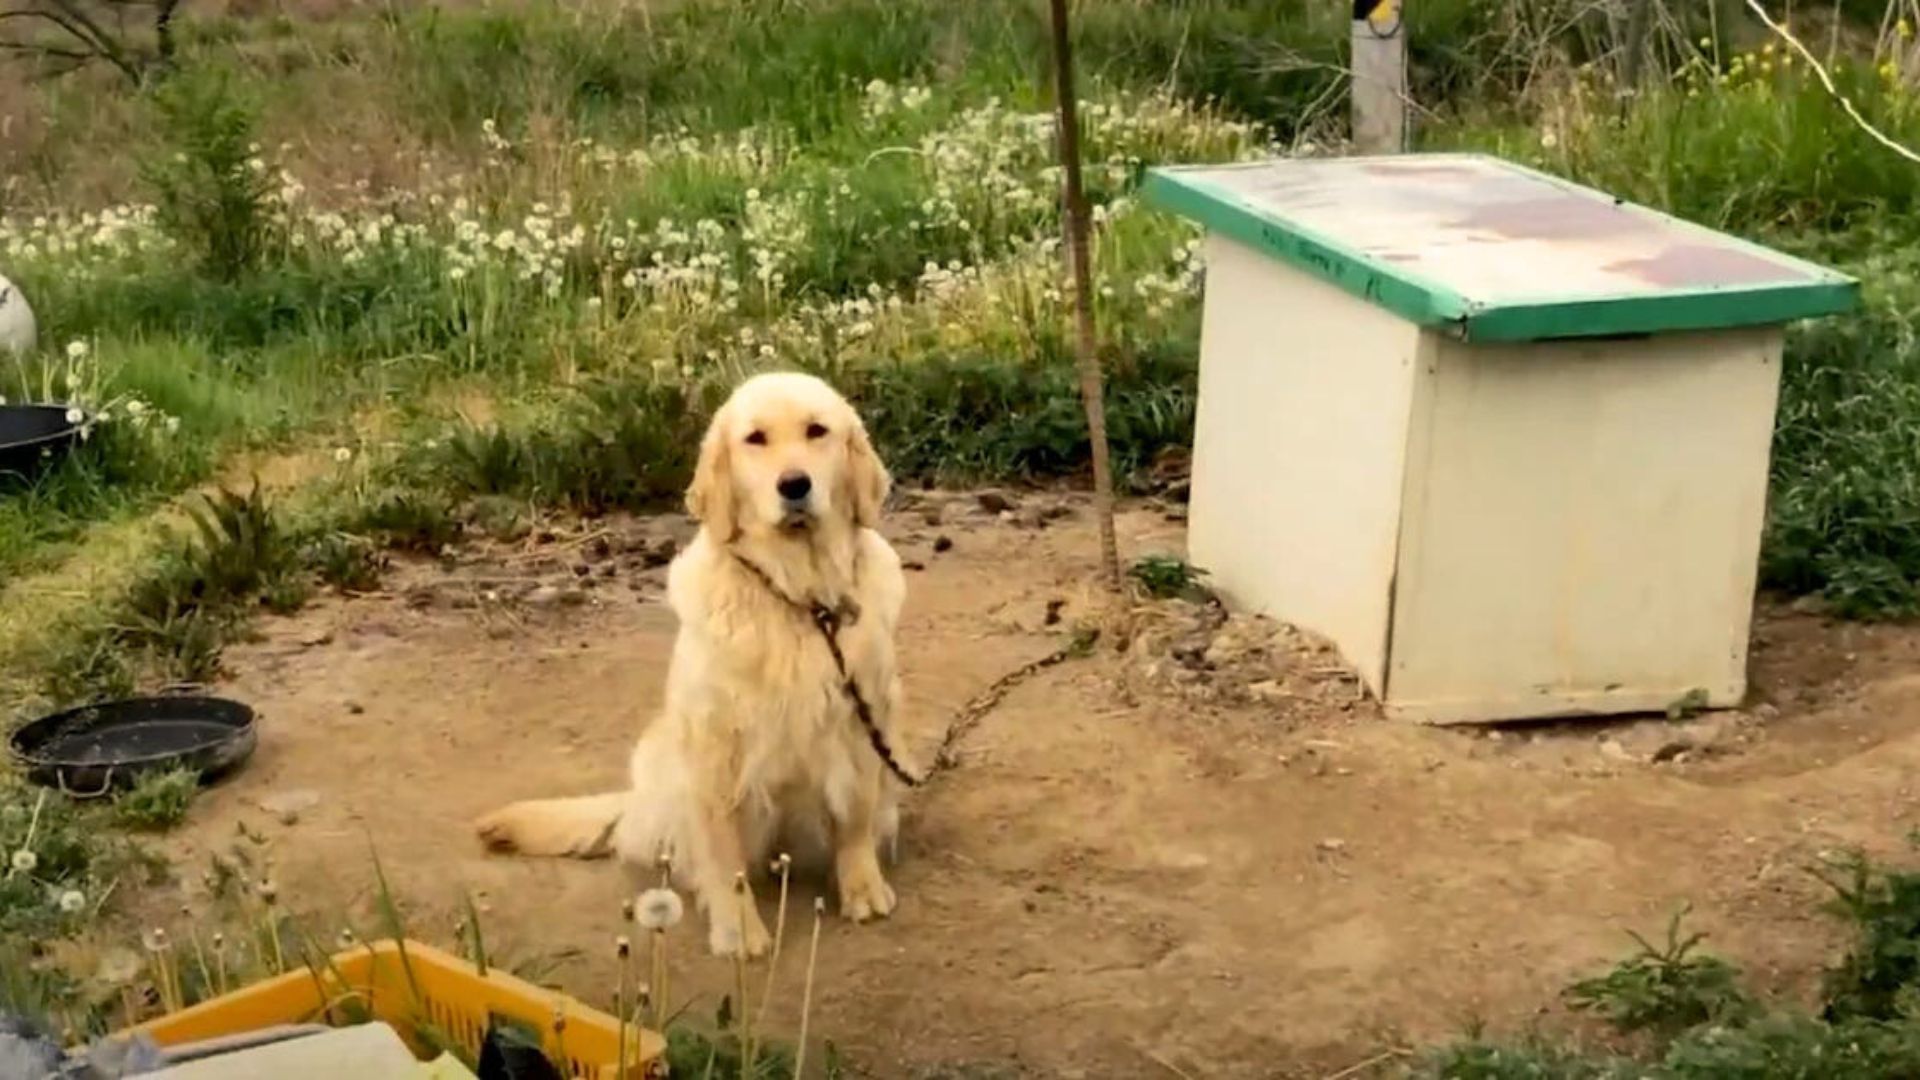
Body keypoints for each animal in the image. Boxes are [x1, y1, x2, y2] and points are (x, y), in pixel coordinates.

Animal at [468, 374, 910, 953]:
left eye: (818, 431)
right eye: (755, 439)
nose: (794, 486)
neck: (797, 595)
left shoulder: (862, 719)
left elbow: (854, 815)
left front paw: (862, 887)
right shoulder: (715, 743)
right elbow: (722, 853)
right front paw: (737, 926)